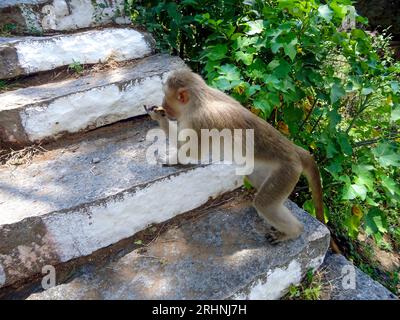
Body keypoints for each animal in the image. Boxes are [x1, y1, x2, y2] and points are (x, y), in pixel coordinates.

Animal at [145, 70, 340, 252]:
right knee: (259, 184)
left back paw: (293, 232)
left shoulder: (198, 122)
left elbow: (190, 153)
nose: (163, 105)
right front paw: (158, 116)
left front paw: (162, 129)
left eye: (166, 98)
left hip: (288, 171)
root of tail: (295, 150)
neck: (200, 99)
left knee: (265, 204)